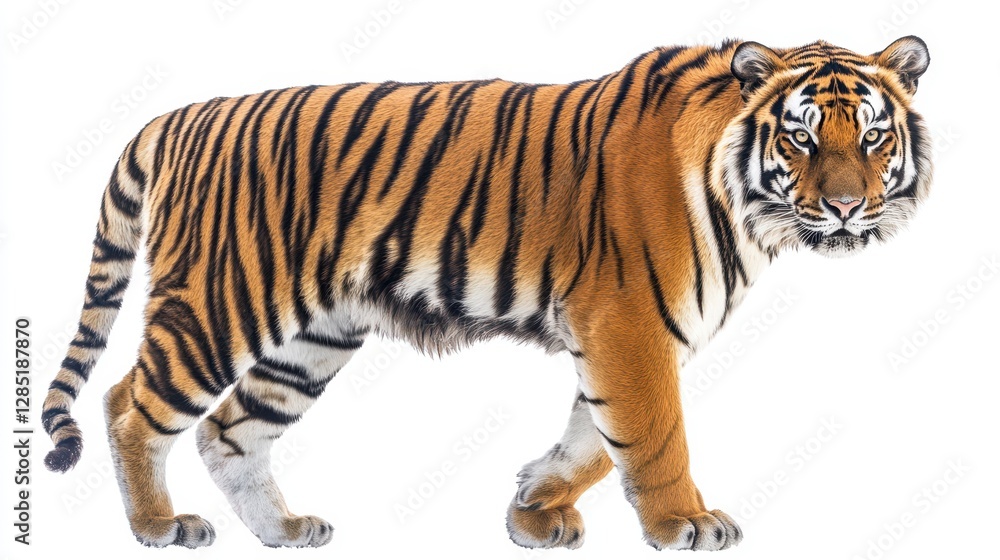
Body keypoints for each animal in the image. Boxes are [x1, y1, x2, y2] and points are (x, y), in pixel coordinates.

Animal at [41, 35, 931, 551]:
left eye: (873, 136)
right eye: (802, 136)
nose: (847, 205)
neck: (749, 208)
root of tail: (180, 116)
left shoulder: (621, 334)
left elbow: (594, 437)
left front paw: (532, 508)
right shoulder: (627, 324)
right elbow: (652, 436)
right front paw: (684, 522)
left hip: (311, 341)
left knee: (230, 430)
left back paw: (285, 530)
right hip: (221, 304)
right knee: (129, 405)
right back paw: (159, 526)